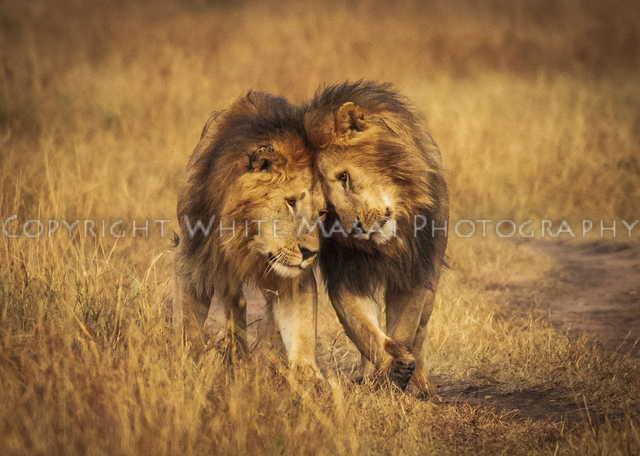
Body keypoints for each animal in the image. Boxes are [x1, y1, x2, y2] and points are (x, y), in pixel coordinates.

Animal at [173, 91, 325, 377]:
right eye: (290, 202)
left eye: (321, 212)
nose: (311, 253)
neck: (245, 235)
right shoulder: (195, 257)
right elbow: (191, 321)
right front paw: (191, 364)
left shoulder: (292, 277)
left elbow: (300, 328)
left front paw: (308, 376)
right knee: (235, 302)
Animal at [304, 81, 449, 393]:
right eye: (326, 210)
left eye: (344, 177)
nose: (355, 228)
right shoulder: (345, 275)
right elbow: (363, 330)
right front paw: (387, 372)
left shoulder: (414, 268)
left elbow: (406, 328)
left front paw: (401, 380)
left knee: (421, 329)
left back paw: (422, 383)